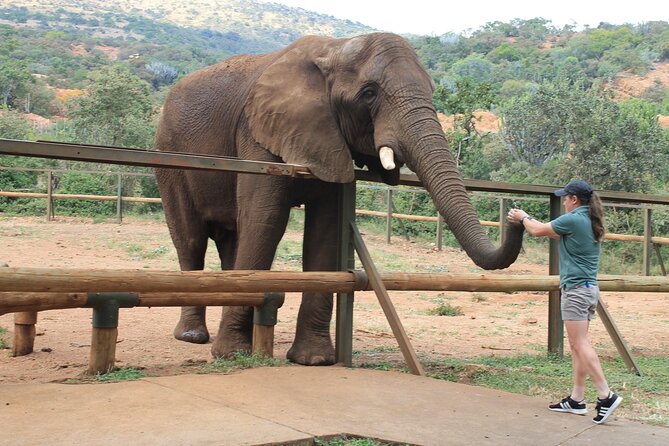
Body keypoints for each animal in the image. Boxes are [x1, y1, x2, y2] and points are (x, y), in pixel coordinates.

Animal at [154, 32, 525, 366]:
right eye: (369, 94)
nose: (516, 217)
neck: (335, 48)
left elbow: (325, 230)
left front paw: (313, 360)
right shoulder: (258, 133)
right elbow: (265, 220)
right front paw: (231, 356)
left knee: (230, 239)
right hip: (169, 157)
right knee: (191, 238)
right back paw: (193, 337)